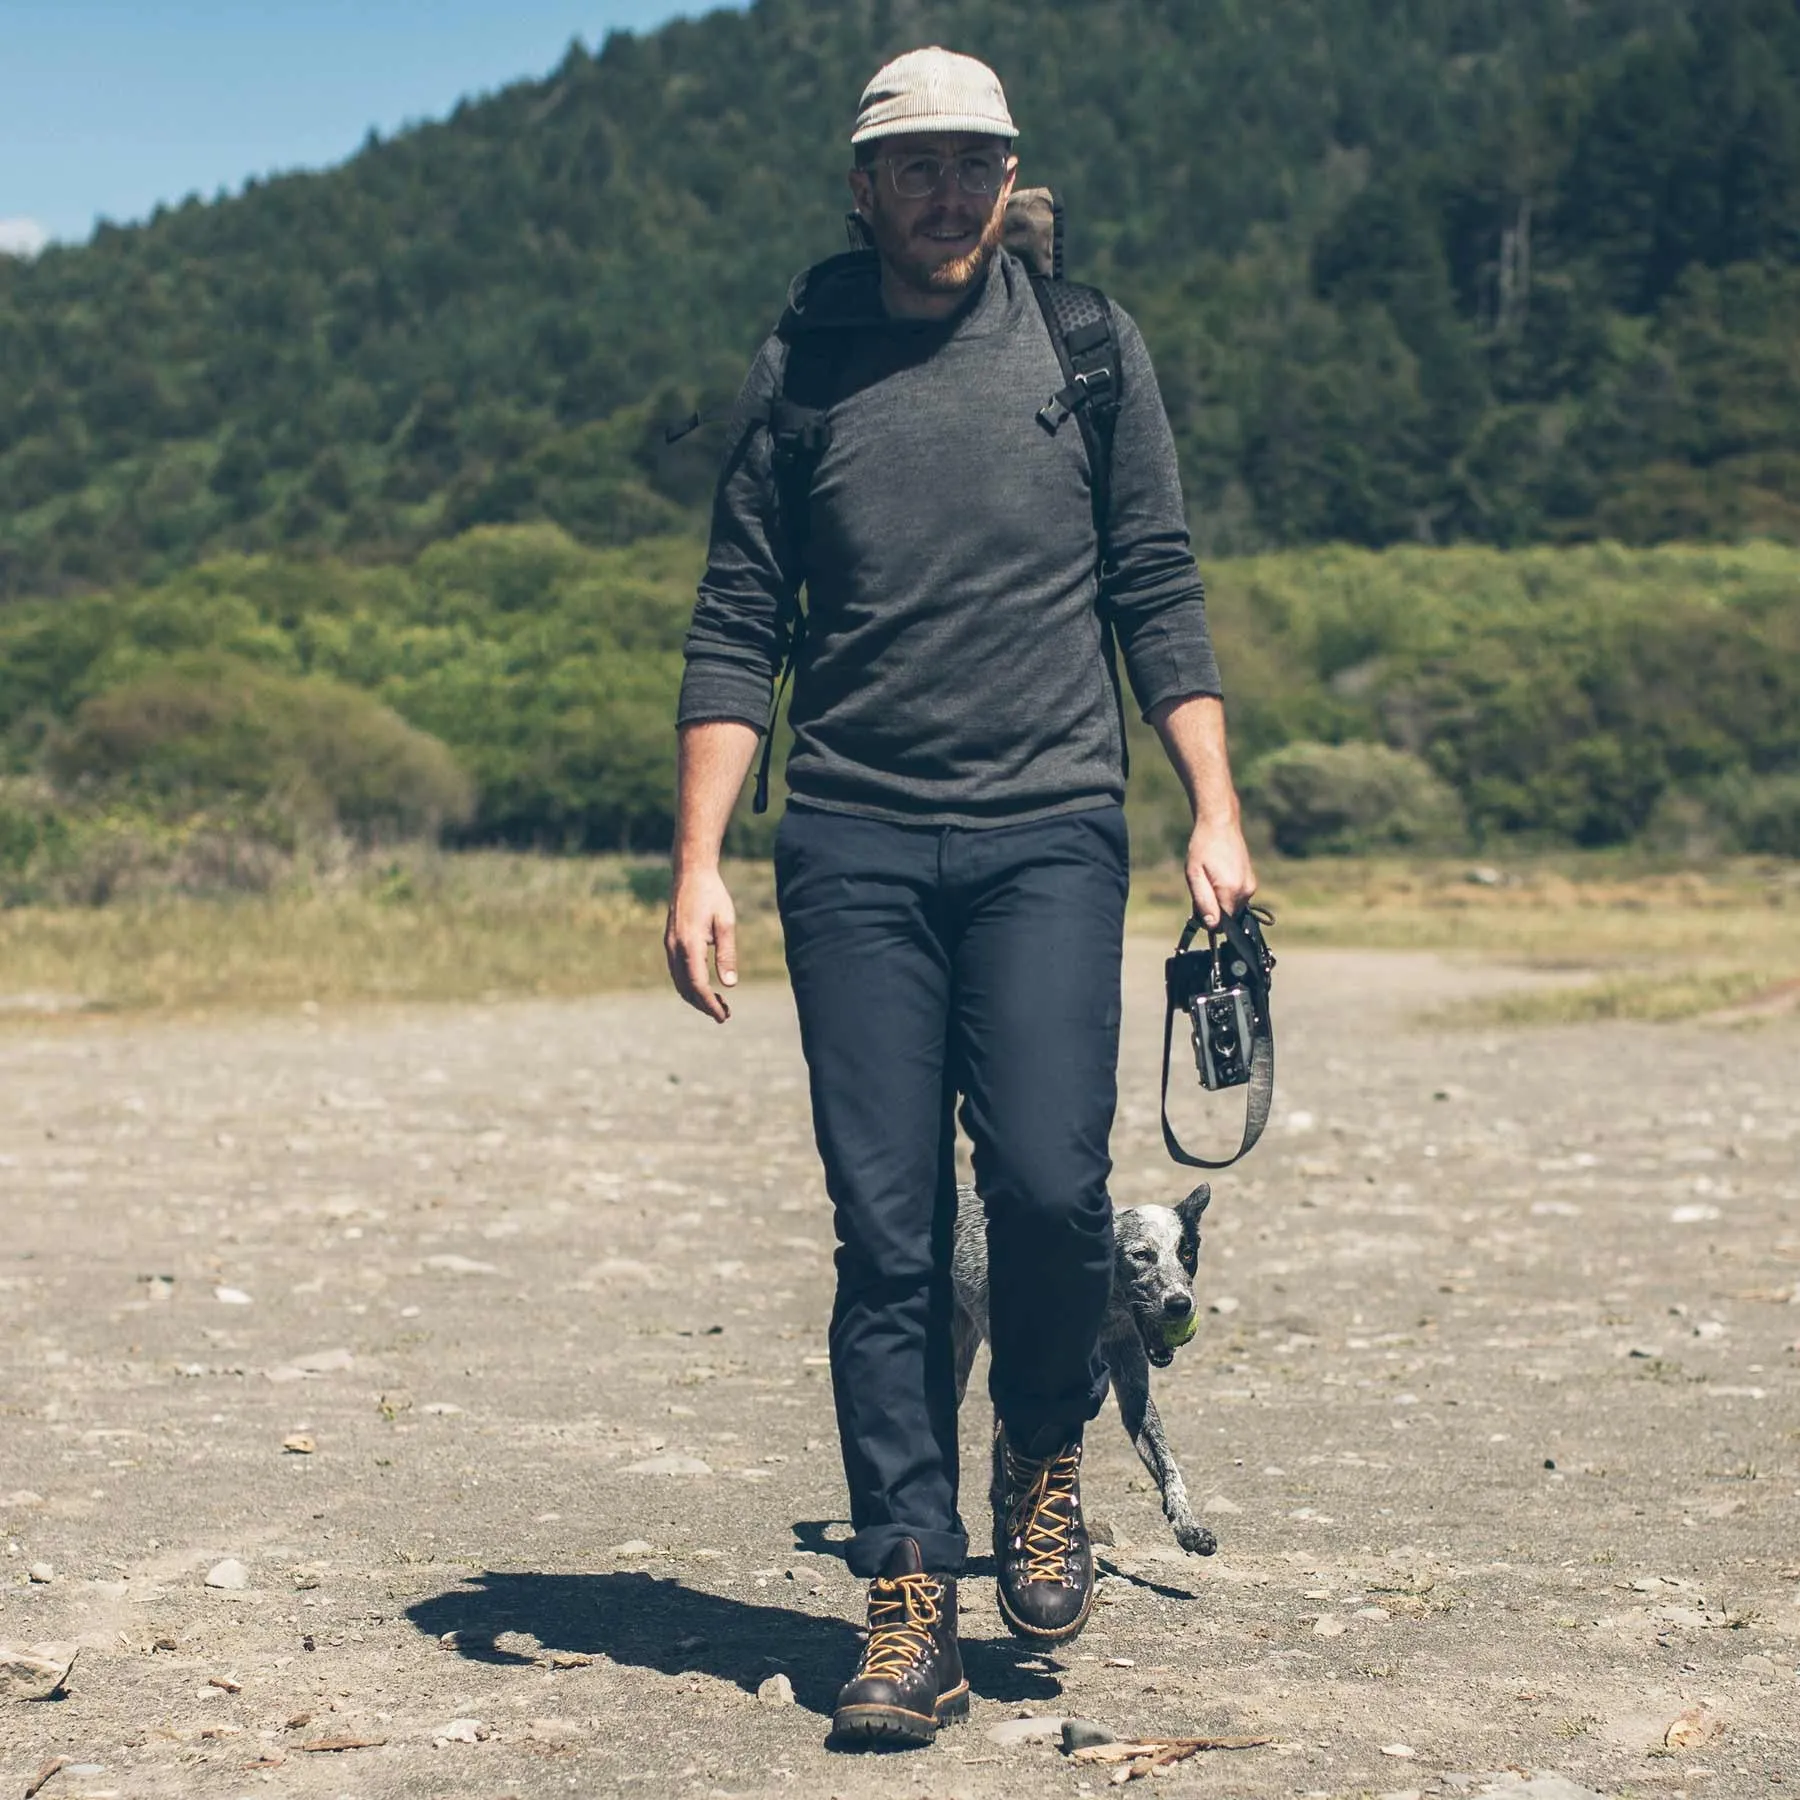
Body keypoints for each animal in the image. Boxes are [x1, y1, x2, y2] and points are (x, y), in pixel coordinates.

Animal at [950, 1180, 1216, 1562]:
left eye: (1187, 1254)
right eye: (1141, 1255)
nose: (1181, 1305)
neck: (1106, 1312)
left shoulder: (1133, 1389)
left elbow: (1167, 1463)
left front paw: (1187, 1524)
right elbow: (1011, 1474)